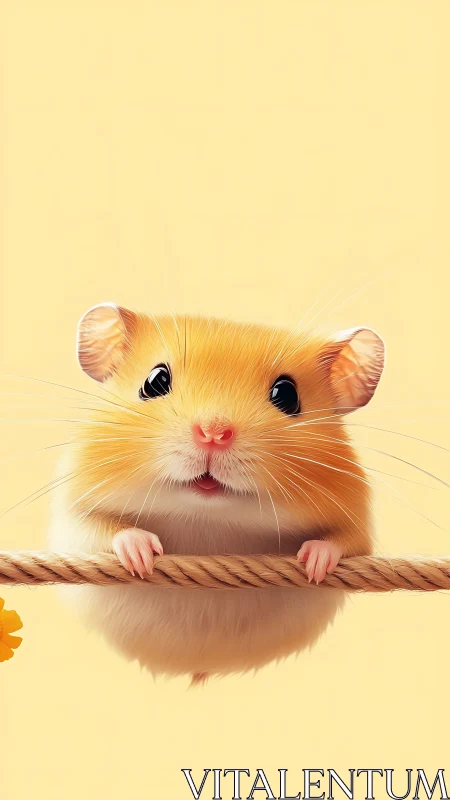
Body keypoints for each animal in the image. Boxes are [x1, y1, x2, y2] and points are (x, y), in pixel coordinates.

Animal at [49, 303, 385, 681]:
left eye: (287, 395)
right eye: (154, 382)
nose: (213, 433)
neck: (207, 519)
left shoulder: (357, 522)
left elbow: (345, 543)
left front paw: (313, 563)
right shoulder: (72, 518)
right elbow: (98, 529)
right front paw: (143, 555)